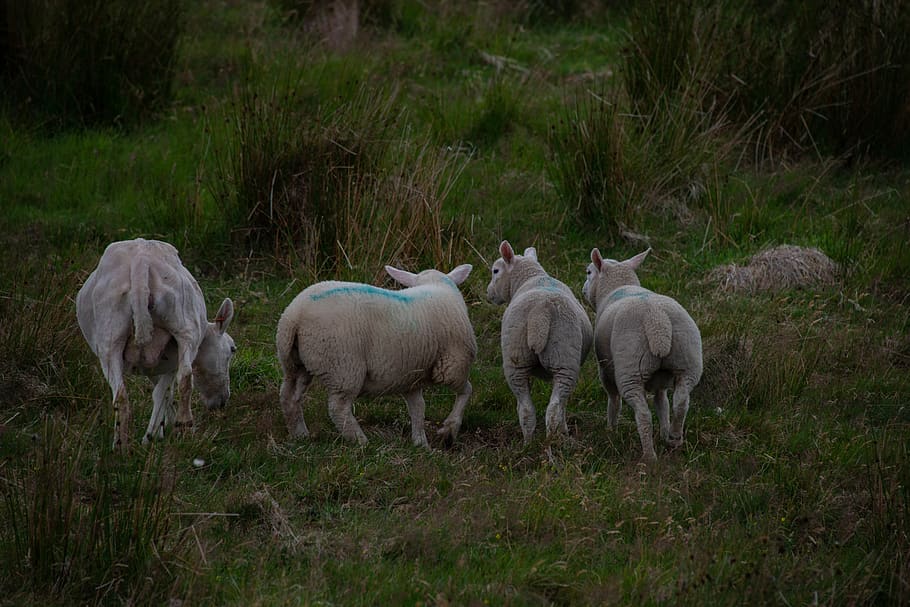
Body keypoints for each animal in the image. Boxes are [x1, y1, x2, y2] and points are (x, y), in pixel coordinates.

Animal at [76, 238, 237, 451]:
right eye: (232, 349)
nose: (222, 401)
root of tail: (140, 263)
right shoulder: (170, 361)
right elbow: (163, 393)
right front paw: (158, 431)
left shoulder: (155, 365)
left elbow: (159, 392)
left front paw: (157, 431)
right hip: (186, 327)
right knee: (185, 378)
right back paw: (184, 428)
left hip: (109, 335)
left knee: (120, 395)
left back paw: (121, 447)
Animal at [275, 263, 477, 448]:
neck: (438, 286)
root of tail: (294, 316)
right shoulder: (452, 366)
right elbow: (467, 390)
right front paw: (449, 430)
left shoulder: (410, 377)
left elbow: (418, 408)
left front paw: (421, 444)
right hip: (343, 367)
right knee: (338, 408)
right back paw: (361, 441)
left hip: (295, 362)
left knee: (289, 396)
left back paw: (300, 434)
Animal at [486, 241, 593, 443]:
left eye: (495, 271)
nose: (489, 294)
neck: (532, 276)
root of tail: (541, 310)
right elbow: (563, 405)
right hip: (561, 361)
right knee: (551, 409)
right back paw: (546, 441)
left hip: (519, 358)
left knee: (531, 409)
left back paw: (533, 443)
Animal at [583, 247, 703, 463]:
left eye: (589, 272)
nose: (582, 290)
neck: (618, 287)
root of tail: (657, 319)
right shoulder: (661, 381)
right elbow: (662, 403)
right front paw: (664, 433)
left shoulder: (604, 368)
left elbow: (613, 399)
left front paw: (610, 430)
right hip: (688, 362)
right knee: (681, 401)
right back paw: (674, 438)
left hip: (630, 369)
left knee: (643, 414)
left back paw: (649, 456)